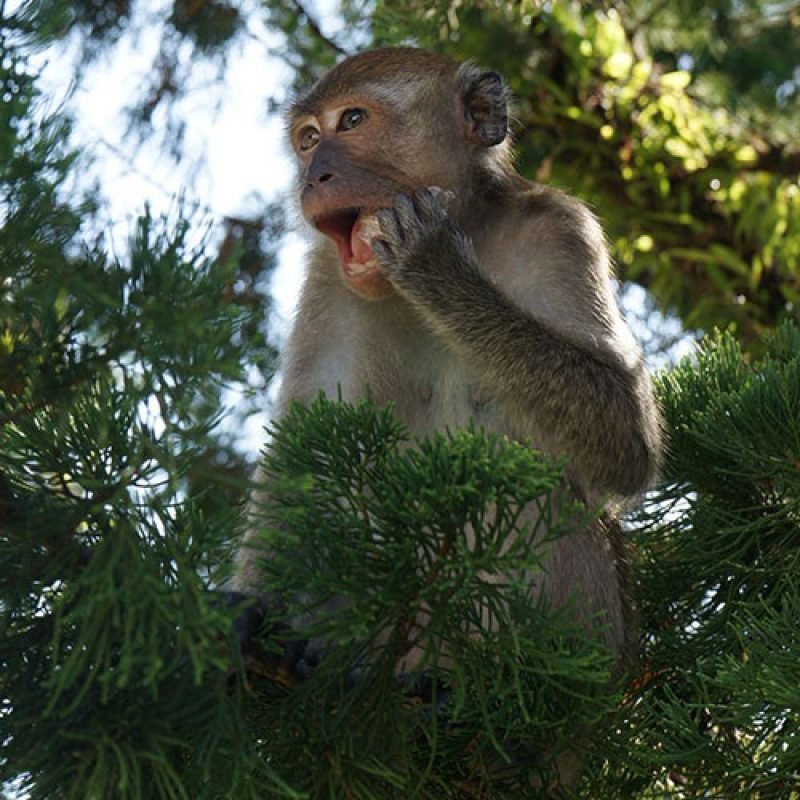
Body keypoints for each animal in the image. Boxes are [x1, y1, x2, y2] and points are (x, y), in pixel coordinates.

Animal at [233, 47, 662, 686]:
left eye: (352, 121)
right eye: (308, 139)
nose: (314, 177)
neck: (476, 226)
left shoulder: (561, 230)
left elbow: (627, 436)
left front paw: (436, 266)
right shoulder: (329, 280)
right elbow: (307, 454)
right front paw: (250, 615)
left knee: (529, 487)